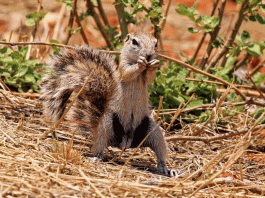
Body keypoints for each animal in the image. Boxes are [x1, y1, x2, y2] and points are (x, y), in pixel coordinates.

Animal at [40, 31, 175, 176]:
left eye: (156, 44)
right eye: (134, 42)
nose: (149, 55)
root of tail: (125, 143)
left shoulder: (146, 78)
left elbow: (150, 78)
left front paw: (154, 63)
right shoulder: (123, 67)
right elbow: (128, 72)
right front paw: (140, 63)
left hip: (152, 130)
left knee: (159, 150)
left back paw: (166, 169)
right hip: (107, 125)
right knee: (99, 146)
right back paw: (96, 158)